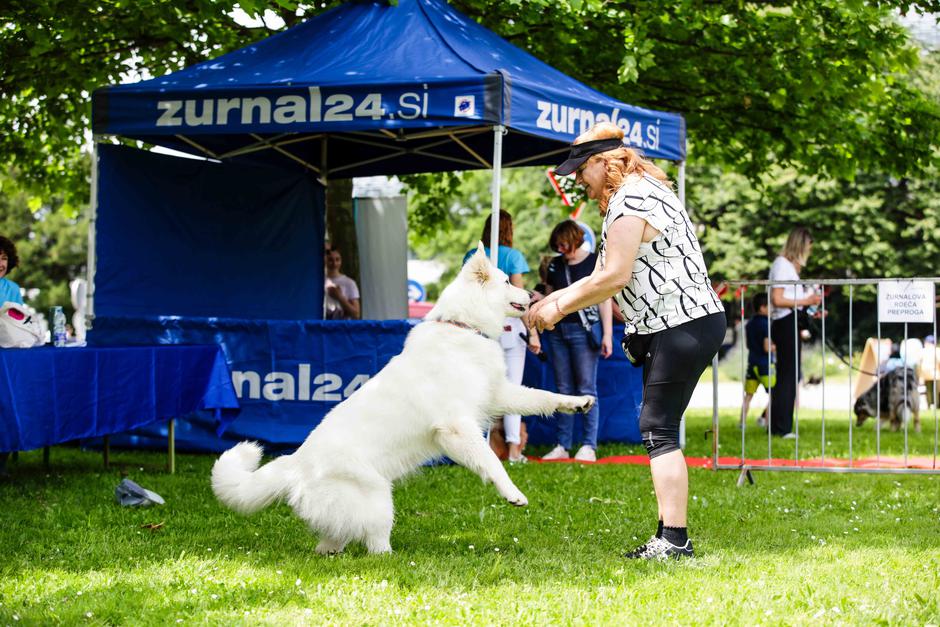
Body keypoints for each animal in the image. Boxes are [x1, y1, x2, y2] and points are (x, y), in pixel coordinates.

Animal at [213, 245, 596, 556]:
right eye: (506, 281)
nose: (533, 294)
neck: (461, 327)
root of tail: (295, 464)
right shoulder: (457, 428)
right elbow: (491, 461)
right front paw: (512, 493)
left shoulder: (498, 394)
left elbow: (542, 398)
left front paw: (577, 401)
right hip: (378, 501)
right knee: (375, 546)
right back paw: (394, 559)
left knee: (332, 541)